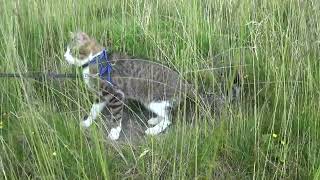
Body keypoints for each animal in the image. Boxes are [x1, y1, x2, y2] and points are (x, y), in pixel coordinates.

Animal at [63, 31, 218, 141]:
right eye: (66, 50)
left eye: (71, 51)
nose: (64, 56)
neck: (94, 60)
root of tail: (184, 83)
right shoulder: (101, 95)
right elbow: (94, 110)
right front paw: (87, 122)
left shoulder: (116, 94)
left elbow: (116, 117)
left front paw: (114, 132)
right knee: (166, 112)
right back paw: (155, 120)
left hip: (153, 99)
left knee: (169, 118)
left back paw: (153, 130)